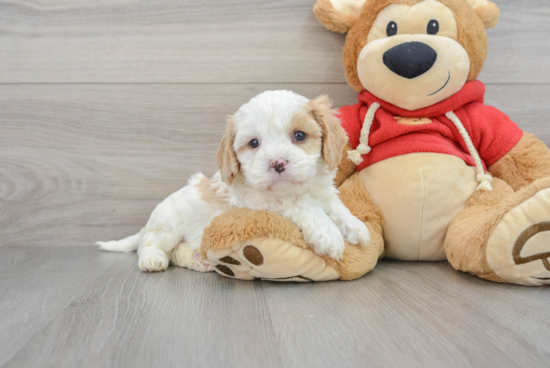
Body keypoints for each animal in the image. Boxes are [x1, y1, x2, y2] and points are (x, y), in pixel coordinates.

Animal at [98, 90, 370, 272]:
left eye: (300, 136)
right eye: (254, 143)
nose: (278, 163)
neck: (297, 189)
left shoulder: (323, 192)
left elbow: (335, 206)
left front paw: (355, 226)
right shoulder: (258, 202)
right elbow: (304, 205)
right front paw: (329, 233)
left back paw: (200, 260)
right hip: (168, 227)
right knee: (150, 244)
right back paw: (153, 259)